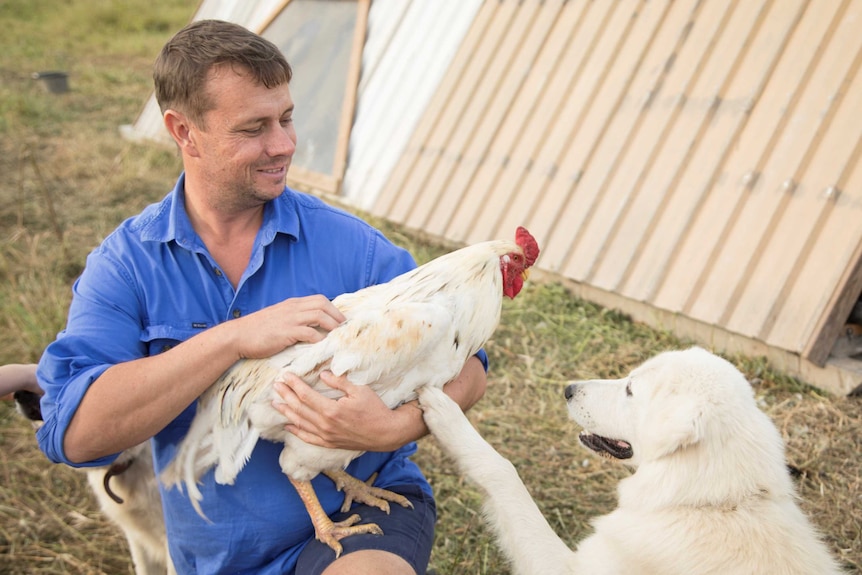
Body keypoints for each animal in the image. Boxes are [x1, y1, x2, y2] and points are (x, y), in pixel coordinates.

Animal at [418, 346, 844, 575]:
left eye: (630, 390)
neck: (714, 501)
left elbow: (505, 473)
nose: (568, 389)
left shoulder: (565, 566)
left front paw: (447, 414)